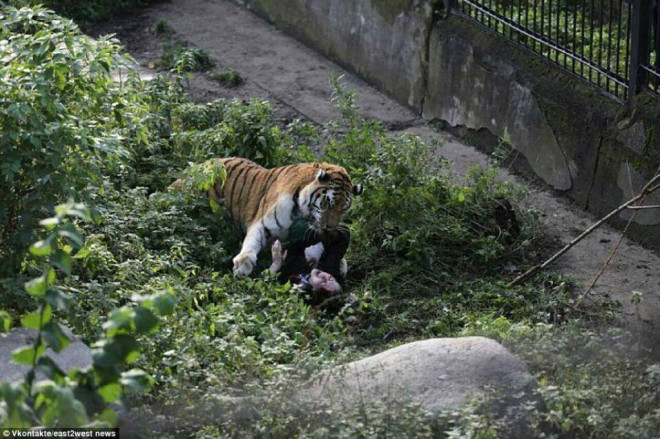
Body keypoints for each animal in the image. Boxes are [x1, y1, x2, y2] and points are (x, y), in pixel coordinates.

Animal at [204, 156, 364, 276]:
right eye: (327, 203)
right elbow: (252, 242)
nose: (329, 228)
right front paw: (243, 264)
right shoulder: (262, 223)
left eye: (343, 209)